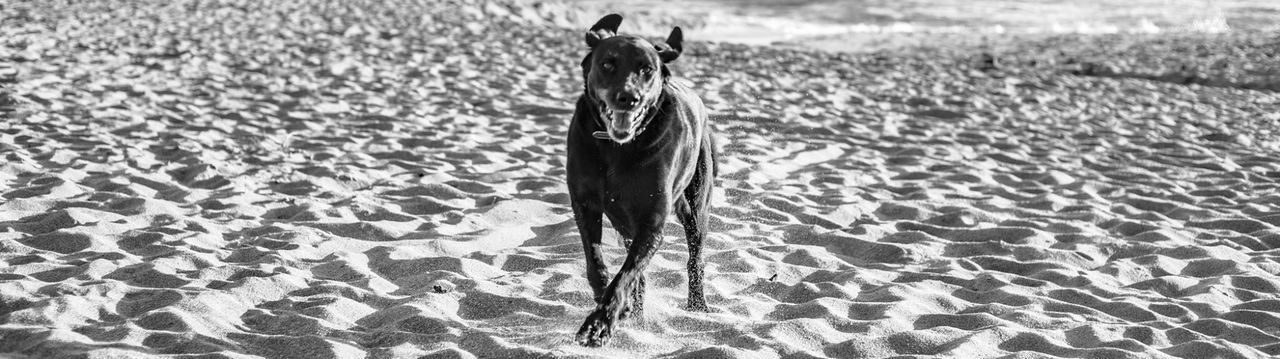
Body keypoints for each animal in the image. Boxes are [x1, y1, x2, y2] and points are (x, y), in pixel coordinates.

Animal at [565, 14, 716, 348]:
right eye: (608, 63)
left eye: (647, 69)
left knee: (694, 257)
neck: (616, 147)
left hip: (696, 203)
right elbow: (596, 262)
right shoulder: (585, 205)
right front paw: (612, 305)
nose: (628, 98)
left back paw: (697, 305)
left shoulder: (652, 220)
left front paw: (600, 324)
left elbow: (627, 274)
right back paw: (635, 312)